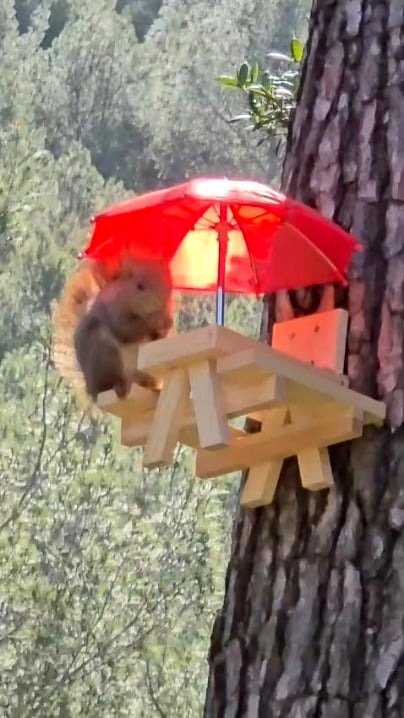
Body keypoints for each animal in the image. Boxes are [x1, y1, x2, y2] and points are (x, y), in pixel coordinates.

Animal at [52, 253, 174, 402]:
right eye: (140, 286)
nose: (163, 304)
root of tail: (91, 389)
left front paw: (167, 323)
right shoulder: (113, 312)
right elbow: (127, 330)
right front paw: (157, 319)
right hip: (105, 353)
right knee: (111, 383)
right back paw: (121, 386)